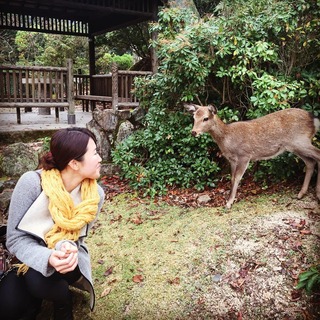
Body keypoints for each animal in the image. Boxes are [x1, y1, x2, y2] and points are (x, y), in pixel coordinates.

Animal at [184, 104, 320, 209]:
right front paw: (229, 200)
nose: (193, 132)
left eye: (206, 118)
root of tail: (314, 119)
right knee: (310, 162)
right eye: (194, 117)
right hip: (295, 145)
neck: (227, 139)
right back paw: (301, 194)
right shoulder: (232, 160)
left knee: (317, 155)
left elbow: (237, 178)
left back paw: (317, 193)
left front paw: (229, 203)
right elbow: (232, 178)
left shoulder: (244, 155)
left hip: (300, 141)